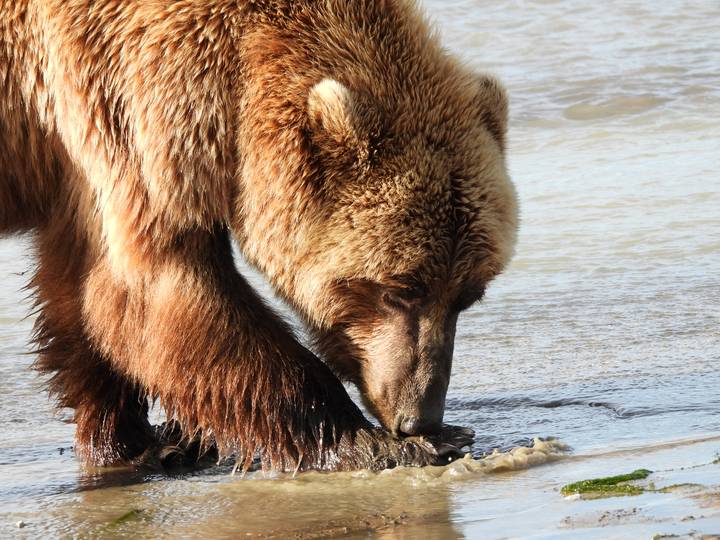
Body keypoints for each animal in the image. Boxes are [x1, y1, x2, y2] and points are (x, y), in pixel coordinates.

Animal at [0, 0, 518, 471]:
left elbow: (78, 291)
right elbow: (166, 287)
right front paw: (380, 444)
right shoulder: (123, 96)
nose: (419, 417)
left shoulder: (81, 154)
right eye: (400, 289)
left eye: (468, 295)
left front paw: (142, 442)